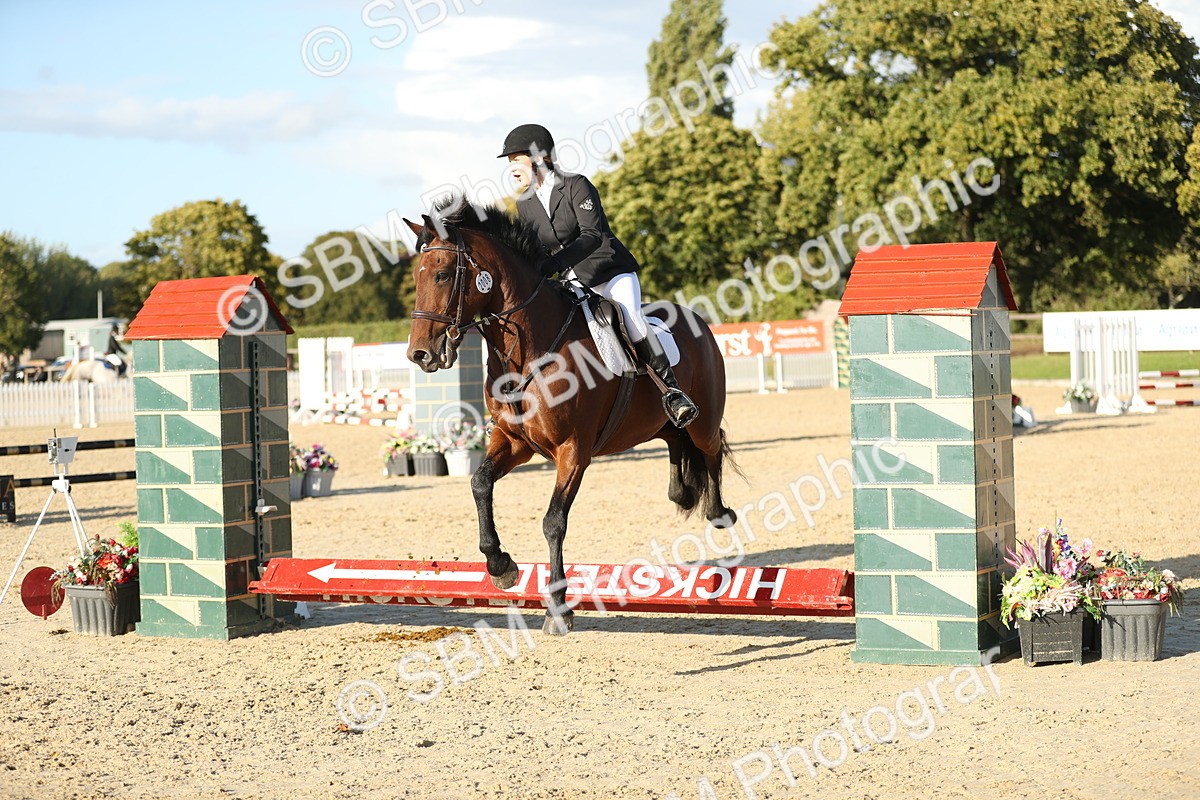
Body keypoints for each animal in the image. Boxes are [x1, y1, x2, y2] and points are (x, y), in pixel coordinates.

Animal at [404, 200, 738, 635]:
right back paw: (682, 492)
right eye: (417, 276)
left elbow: (553, 521)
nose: (420, 354)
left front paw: (558, 608)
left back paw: (719, 513)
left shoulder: (573, 450)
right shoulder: (515, 443)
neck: (527, 350)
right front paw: (501, 566)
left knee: (710, 450)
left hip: (703, 420)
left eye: (442, 274)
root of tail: (698, 320)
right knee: (677, 445)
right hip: (659, 425)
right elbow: (479, 483)